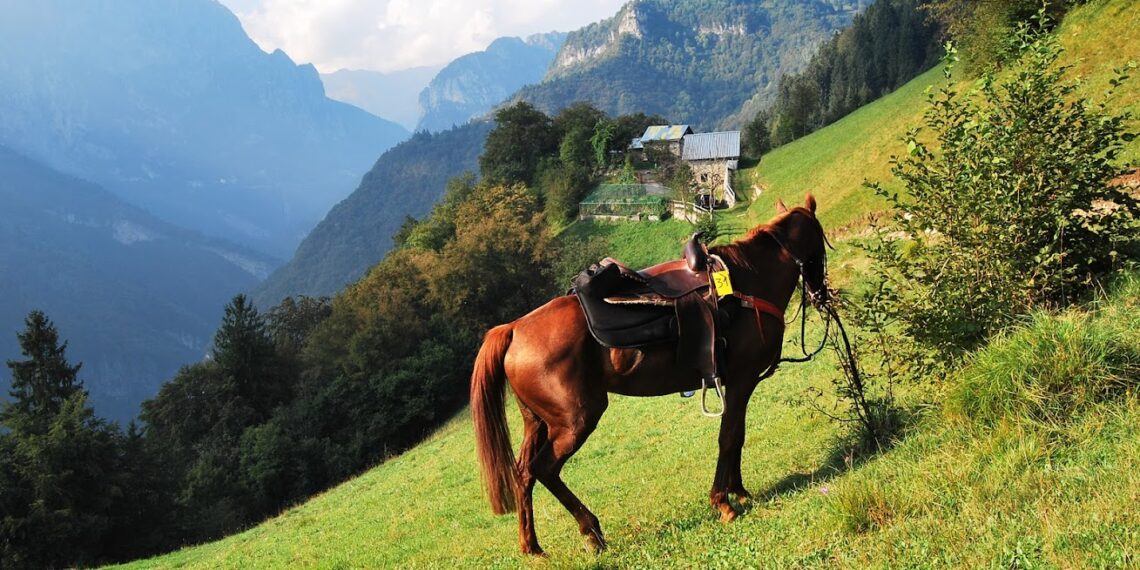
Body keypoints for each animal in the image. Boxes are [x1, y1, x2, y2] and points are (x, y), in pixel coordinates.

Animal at [470, 195, 830, 555]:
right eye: (822, 242)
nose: (821, 295)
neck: (748, 281)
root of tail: (514, 328)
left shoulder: (739, 383)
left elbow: (737, 435)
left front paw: (739, 492)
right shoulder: (742, 380)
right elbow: (728, 437)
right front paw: (723, 501)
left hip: (538, 422)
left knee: (523, 473)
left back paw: (532, 546)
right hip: (575, 421)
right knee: (545, 469)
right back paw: (591, 531)